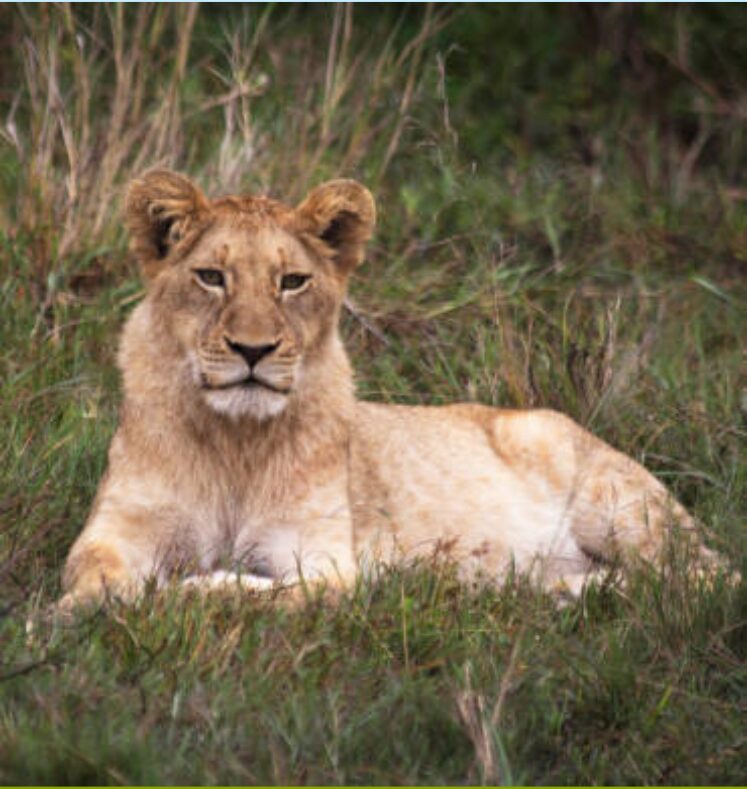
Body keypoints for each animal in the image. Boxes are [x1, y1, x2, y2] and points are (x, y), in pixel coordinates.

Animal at [59, 169, 720, 610]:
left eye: (292, 282)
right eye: (211, 277)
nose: (253, 350)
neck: (234, 441)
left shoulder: (327, 561)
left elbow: (264, 593)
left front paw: (189, 590)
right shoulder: (117, 528)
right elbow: (90, 575)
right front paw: (82, 612)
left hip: (614, 502)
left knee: (702, 577)